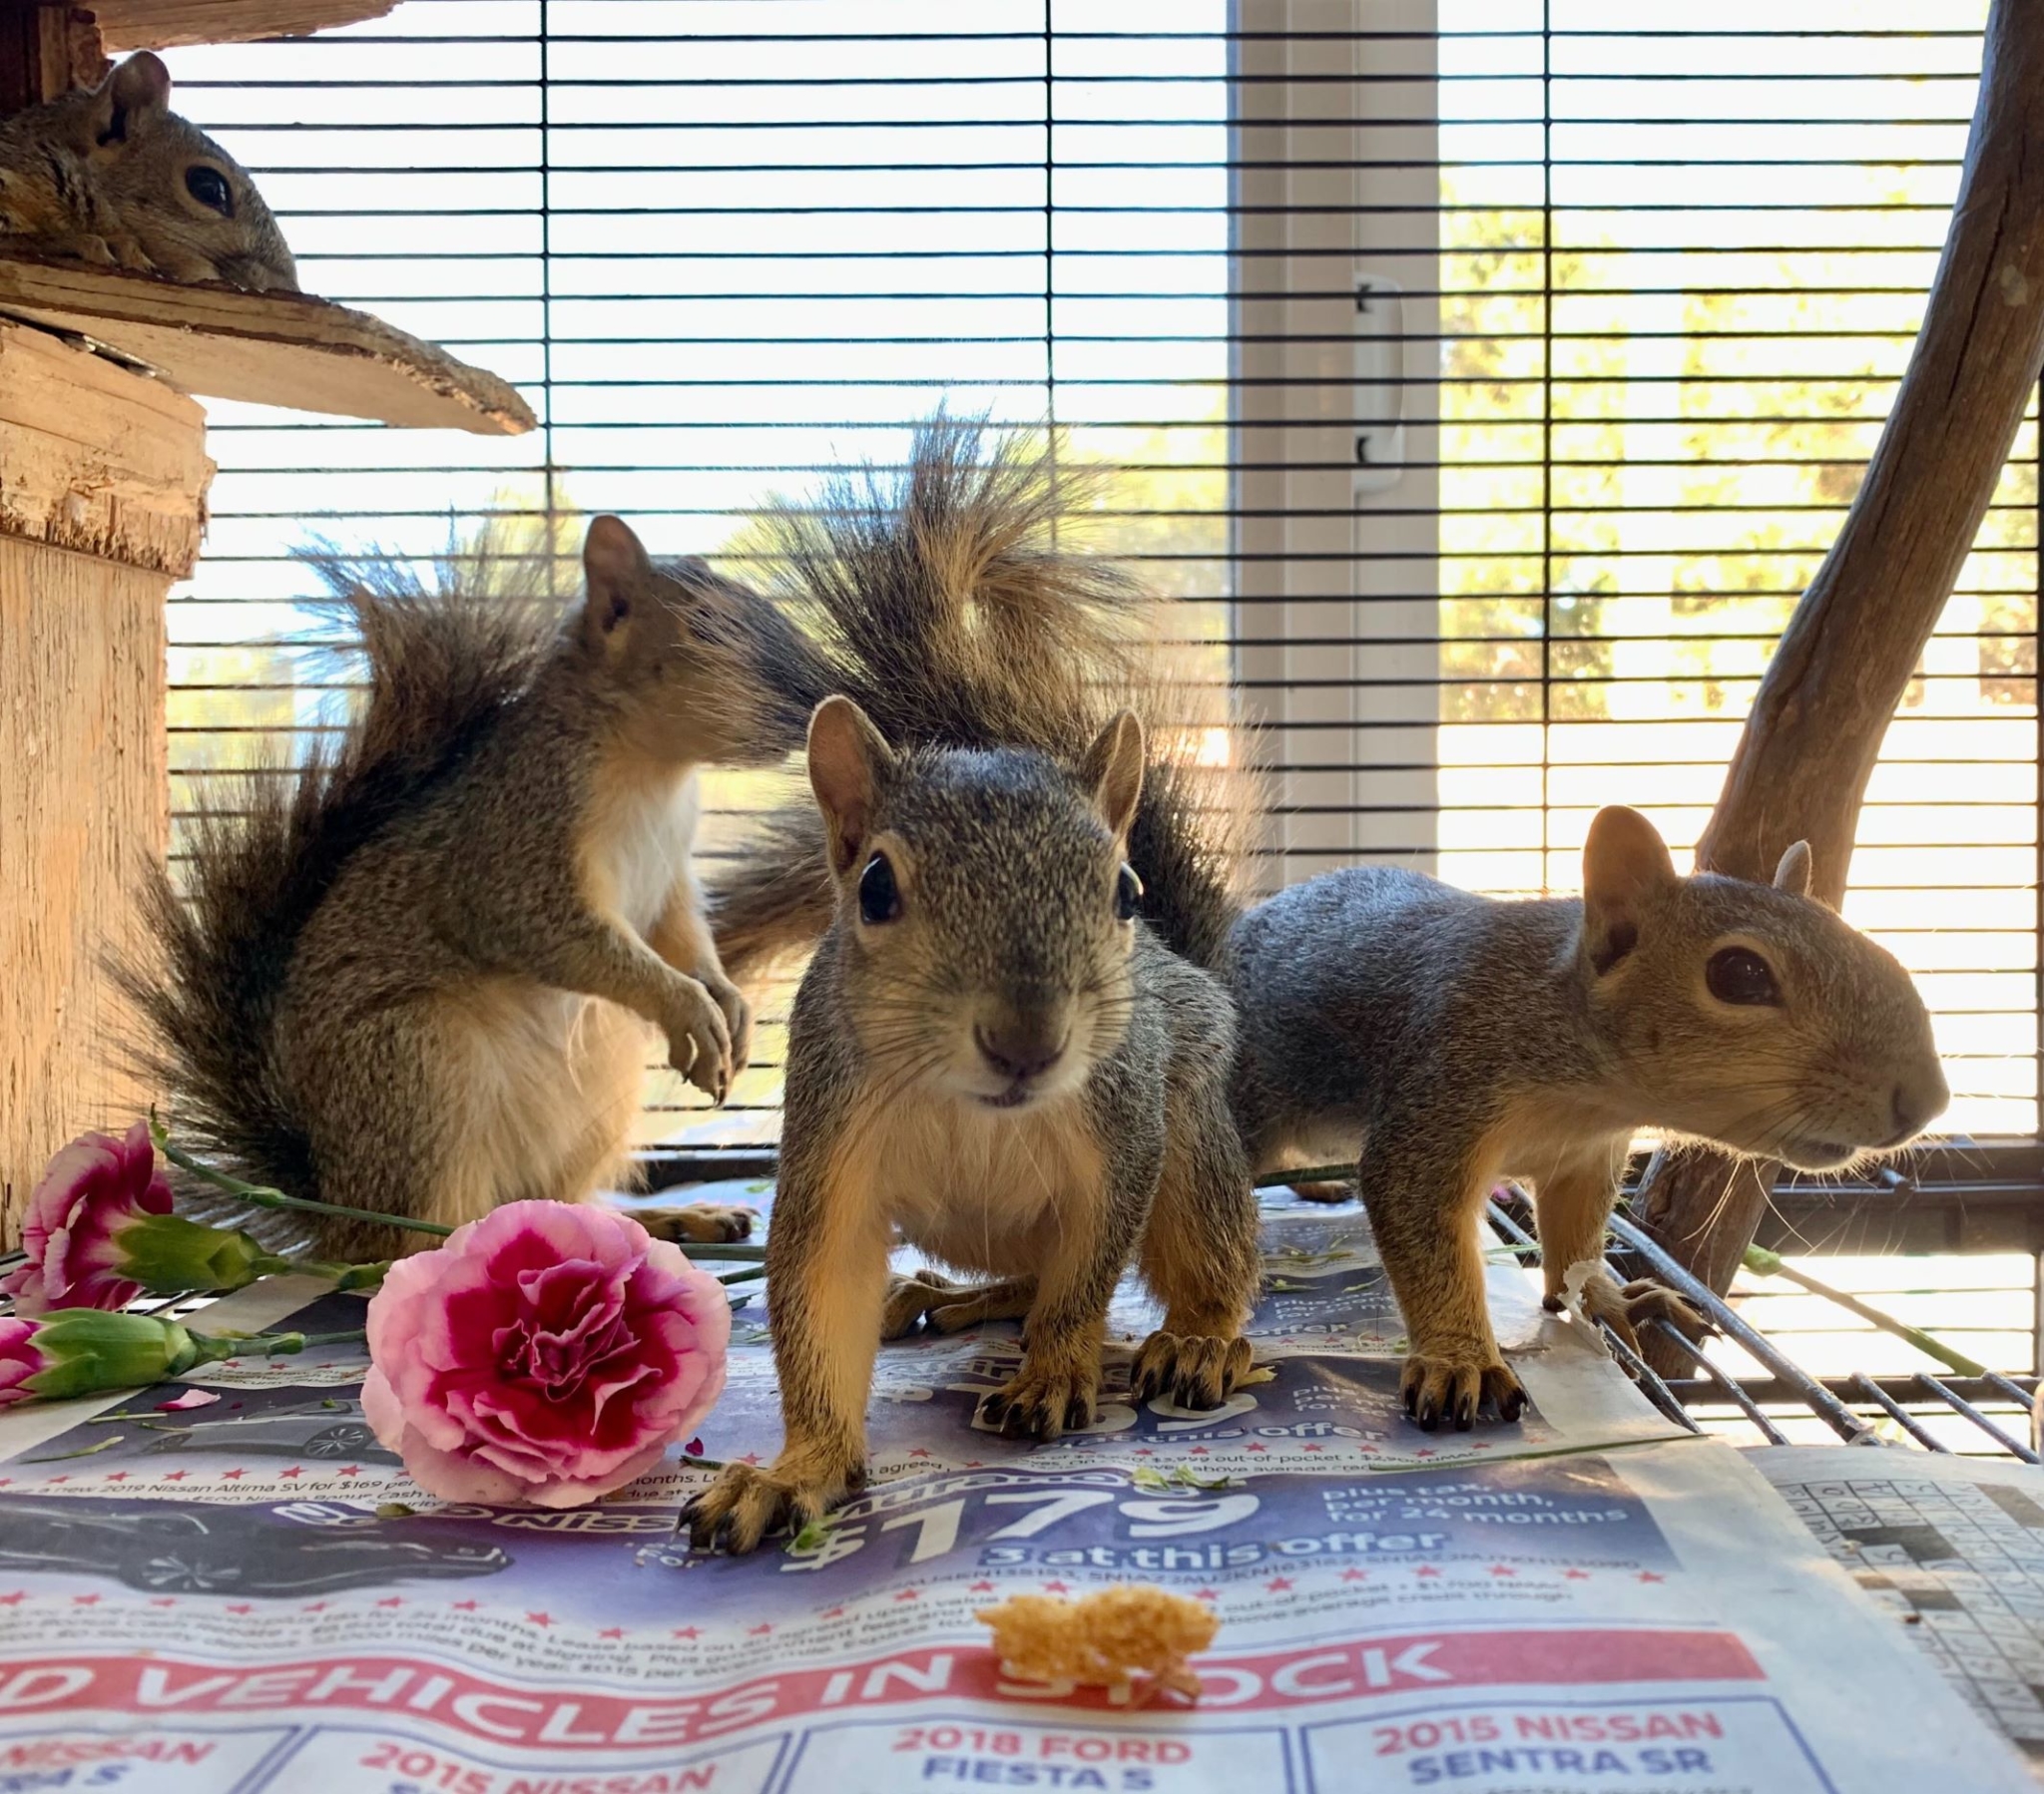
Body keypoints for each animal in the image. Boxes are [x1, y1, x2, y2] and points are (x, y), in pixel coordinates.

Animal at [123, 513, 837, 1258]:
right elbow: (546, 929)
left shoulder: (670, 874)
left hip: (602, 1082)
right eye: (705, 627)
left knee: (551, 1201)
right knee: (411, 1234)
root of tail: (336, 1205)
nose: (814, 691)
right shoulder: (515, 846)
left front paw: (728, 1005)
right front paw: (688, 1007)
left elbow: (686, 934)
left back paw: (666, 1221)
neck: (654, 767)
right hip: (419, 1067)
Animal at [687, 420, 1259, 1561]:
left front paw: (1052, 1377)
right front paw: (794, 1470)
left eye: (1123, 892)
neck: (974, 1108)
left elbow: (1087, 1280)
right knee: (1017, 1276)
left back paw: (1197, 1342)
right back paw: (938, 1294)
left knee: (1201, 1258)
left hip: (1190, 1140)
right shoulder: (832, 1148)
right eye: (874, 888)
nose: (1027, 1040)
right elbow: (816, 1304)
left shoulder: (1120, 1136)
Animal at [1226, 808, 1945, 1438]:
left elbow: (1575, 1241)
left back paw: (1316, 1184)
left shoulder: (1587, 1157)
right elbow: (1420, 1220)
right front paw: (1458, 1360)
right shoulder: (1444, 1088)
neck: (1591, 1095)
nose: (1929, 1100)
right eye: (1739, 974)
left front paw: (1605, 1298)